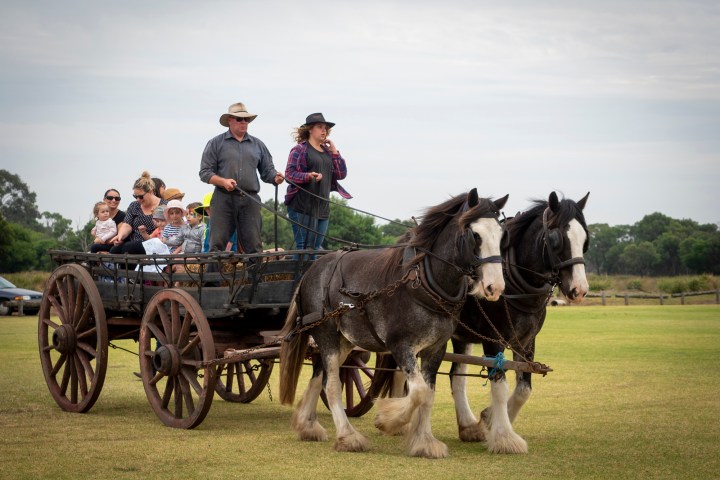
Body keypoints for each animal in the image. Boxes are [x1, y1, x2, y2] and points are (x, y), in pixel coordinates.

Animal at [278, 189, 508, 458]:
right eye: (475, 234)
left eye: (501, 234)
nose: (495, 287)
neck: (424, 282)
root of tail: (310, 271)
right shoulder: (400, 345)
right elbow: (418, 392)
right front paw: (389, 419)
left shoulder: (435, 349)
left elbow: (428, 394)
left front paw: (424, 441)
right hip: (327, 338)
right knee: (332, 384)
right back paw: (348, 436)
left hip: (344, 341)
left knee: (318, 376)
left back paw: (307, 425)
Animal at [449, 191, 590, 454]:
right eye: (555, 238)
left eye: (585, 239)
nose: (579, 289)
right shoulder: (492, 339)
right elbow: (500, 385)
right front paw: (503, 435)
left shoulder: (525, 341)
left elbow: (524, 389)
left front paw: (490, 419)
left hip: (459, 336)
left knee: (456, 376)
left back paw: (468, 426)